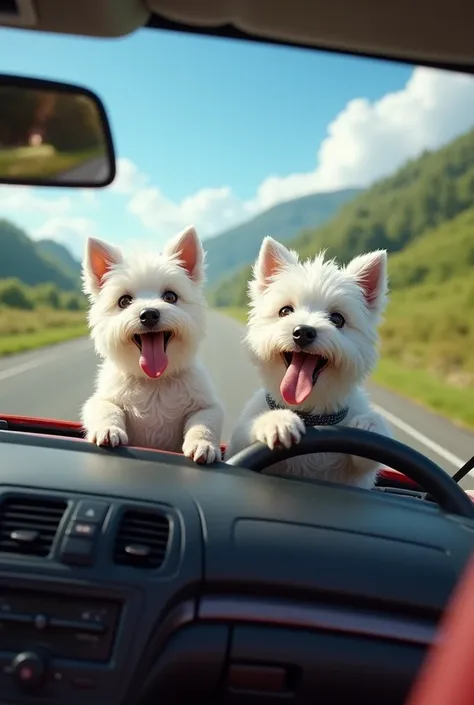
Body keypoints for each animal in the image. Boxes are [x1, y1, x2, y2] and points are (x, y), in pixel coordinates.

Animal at [81, 226, 224, 464]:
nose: (148, 314)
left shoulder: (206, 405)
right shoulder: (104, 398)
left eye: (170, 296)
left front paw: (202, 444)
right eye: (124, 301)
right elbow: (105, 408)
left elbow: (203, 422)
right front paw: (109, 429)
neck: (154, 383)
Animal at [226, 236, 392, 490]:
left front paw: (371, 423)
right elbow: (247, 432)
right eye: (285, 311)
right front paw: (277, 421)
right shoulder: (238, 444)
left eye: (337, 319)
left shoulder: (359, 471)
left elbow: (369, 451)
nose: (303, 332)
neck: (311, 413)